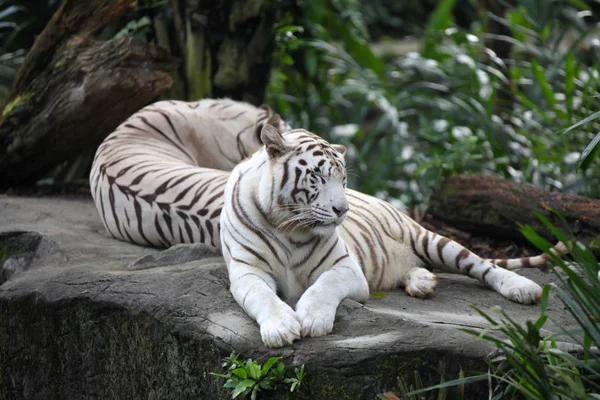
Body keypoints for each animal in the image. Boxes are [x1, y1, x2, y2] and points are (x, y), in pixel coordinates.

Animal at [90, 98, 568, 348]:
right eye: (318, 177)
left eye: (343, 179)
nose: (343, 210)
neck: (286, 226)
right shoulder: (246, 274)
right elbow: (263, 299)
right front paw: (282, 327)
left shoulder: (346, 268)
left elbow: (322, 288)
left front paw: (312, 318)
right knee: (418, 269)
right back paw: (420, 283)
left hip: (432, 238)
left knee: (481, 264)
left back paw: (521, 289)